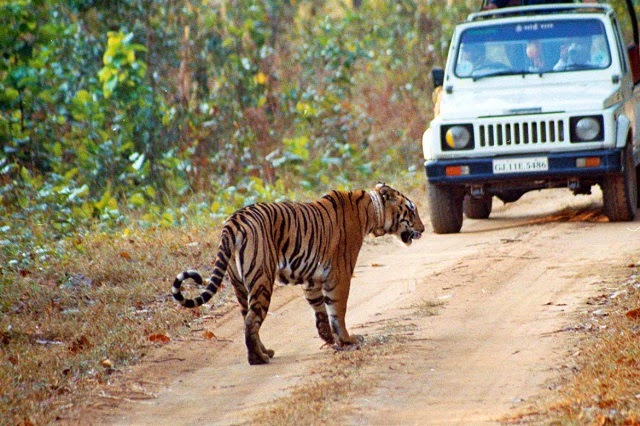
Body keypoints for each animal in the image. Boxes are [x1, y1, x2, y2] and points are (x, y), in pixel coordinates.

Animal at [172, 181, 424, 364]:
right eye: (412, 211)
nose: (422, 229)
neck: (371, 212)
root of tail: (232, 222)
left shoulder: (312, 279)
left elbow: (321, 311)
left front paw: (329, 338)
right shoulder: (339, 274)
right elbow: (338, 310)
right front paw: (347, 339)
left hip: (239, 284)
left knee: (247, 318)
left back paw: (265, 352)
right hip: (262, 278)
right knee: (252, 320)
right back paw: (258, 358)